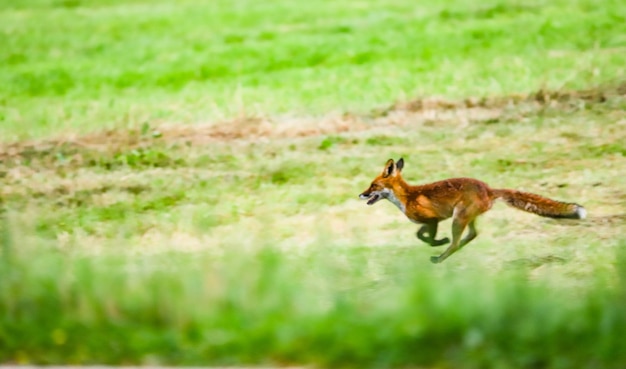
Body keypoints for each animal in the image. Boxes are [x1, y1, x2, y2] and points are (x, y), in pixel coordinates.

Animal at [356, 157, 584, 264]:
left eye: (373, 186)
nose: (361, 194)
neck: (407, 197)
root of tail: (489, 189)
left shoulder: (433, 219)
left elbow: (424, 237)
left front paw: (438, 243)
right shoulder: (430, 221)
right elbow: (420, 235)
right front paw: (436, 242)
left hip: (458, 218)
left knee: (457, 242)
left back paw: (440, 258)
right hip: (466, 218)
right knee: (473, 234)